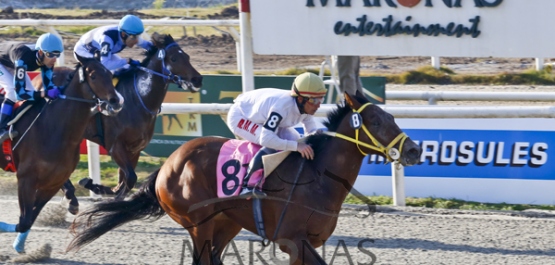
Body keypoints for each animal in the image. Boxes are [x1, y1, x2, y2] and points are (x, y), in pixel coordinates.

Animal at [0, 53, 122, 252]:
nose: (116, 102)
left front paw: (19, 245)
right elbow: (23, 221)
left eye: (110, 74)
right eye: (93, 76)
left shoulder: (52, 183)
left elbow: (28, 221)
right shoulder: (26, 179)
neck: (55, 129)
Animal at [66, 92, 422, 262]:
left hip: (228, 223)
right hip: (199, 224)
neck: (320, 179)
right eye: (375, 121)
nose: (415, 151)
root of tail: (169, 164)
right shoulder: (292, 240)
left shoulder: (304, 244)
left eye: (391, 115)